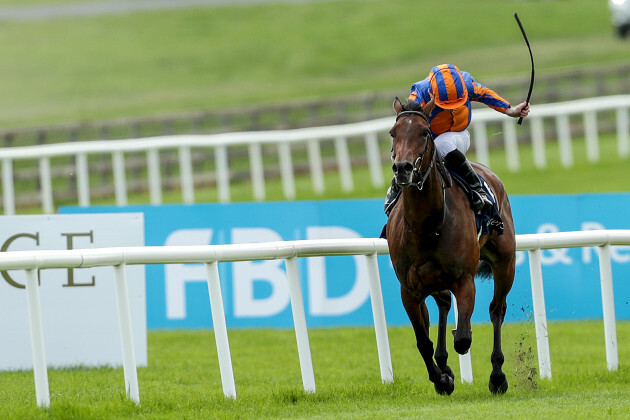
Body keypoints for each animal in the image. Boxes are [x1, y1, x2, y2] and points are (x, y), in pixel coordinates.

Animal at [386, 97, 520, 396]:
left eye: (425, 132)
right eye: (393, 133)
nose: (403, 168)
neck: (428, 225)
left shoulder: (464, 279)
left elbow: (464, 337)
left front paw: (450, 372)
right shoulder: (408, 289)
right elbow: (423, 342)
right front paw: (442, 377)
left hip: (505, 262)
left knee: (497, 310)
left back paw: (497, 376)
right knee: (445, 303)